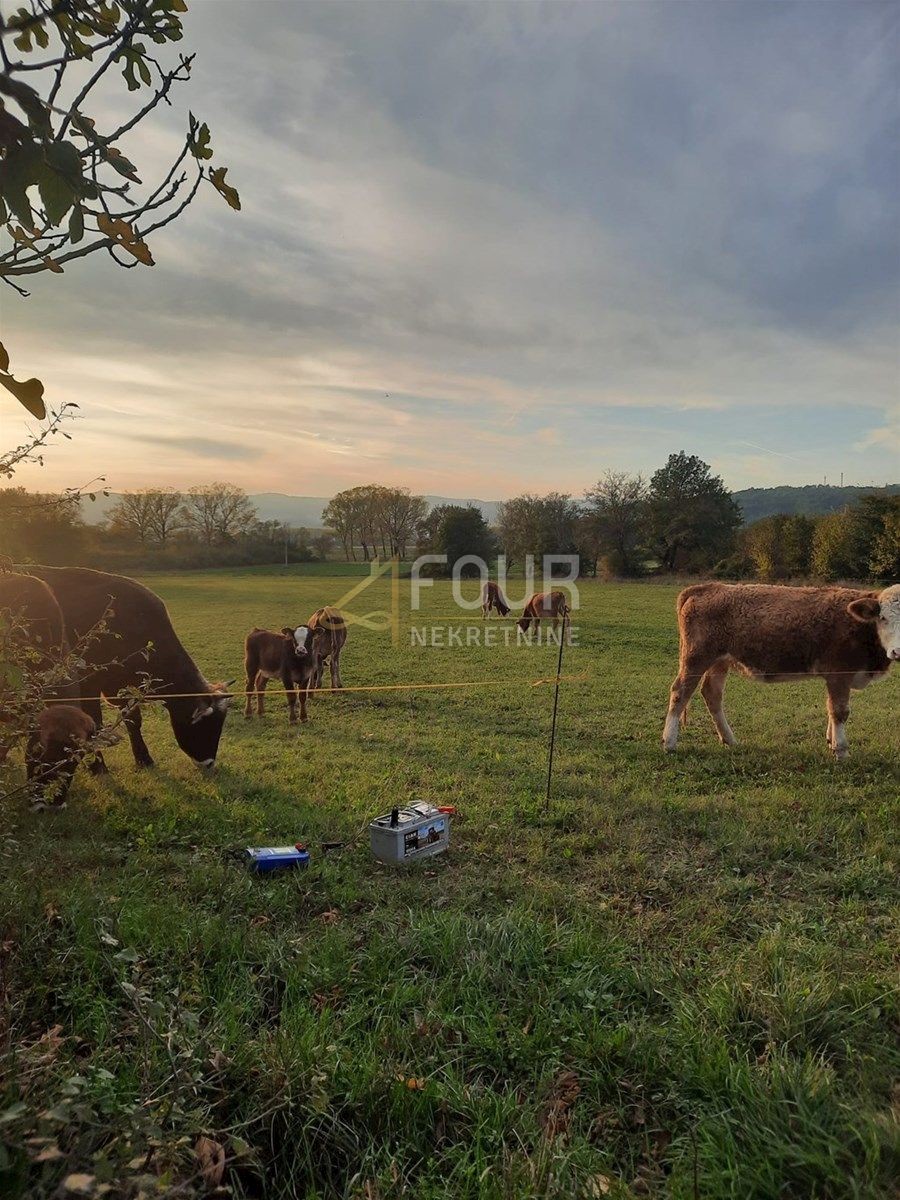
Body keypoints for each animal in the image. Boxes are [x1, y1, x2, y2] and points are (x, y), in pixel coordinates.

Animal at [29, 564, 232, 768]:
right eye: (205, 726)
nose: (209, 763)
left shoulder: (122, 687)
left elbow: (133, 720)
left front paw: (143, 757)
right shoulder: (88, 685)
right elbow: (94, 723)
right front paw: (98, 765)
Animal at [662, 580, 900, 758]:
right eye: (883, 618)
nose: (897, 651)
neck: (860, 627)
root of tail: (708, 587)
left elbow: (830, 708)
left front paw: (831, 740)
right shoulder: (838, 674)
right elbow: (839, 711)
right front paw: (841, 750)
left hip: (719, 662)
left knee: (712, 694)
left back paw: (730, 739)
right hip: (696, 659)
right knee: (680, 692)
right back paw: (669, 742)